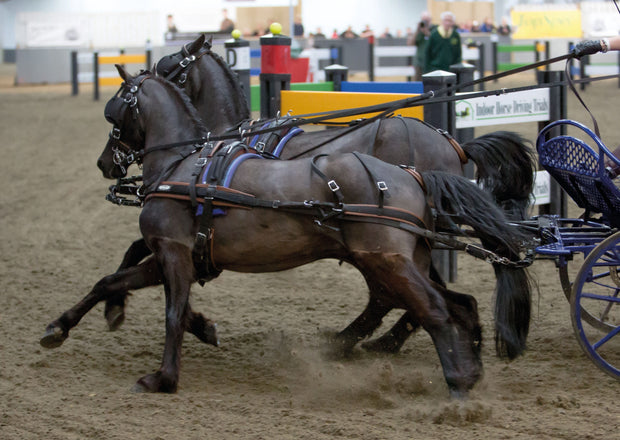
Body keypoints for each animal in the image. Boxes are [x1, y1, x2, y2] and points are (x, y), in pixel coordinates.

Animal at [41, 68, 532, 396]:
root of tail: (415, 174)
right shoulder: (170, 255)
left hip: (385, 260)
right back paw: (465, 365)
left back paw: (453, 378)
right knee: (456, 304)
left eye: (115, 110)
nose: (105, 162)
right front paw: (60, 327)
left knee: (429, 308)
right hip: (405, 259)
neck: (184, 166)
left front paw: (164, 377)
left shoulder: (175, 254)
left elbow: (172, 313)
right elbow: (109, 280)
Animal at [104, 33, 536, 358]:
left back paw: (371, 342)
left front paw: (118, 306)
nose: (106, 163)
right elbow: (137, 250)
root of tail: (453, 143)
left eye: (167, 70)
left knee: (397, 293)